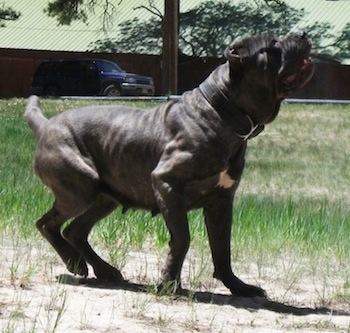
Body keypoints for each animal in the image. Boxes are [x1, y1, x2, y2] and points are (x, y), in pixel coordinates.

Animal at [25, 31, 314, 296]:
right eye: (273, 45)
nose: (302, 34)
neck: (222, 113)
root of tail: (45, 125)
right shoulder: (167, 184)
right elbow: (183, 238)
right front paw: (169, 282)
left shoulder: (221, 202)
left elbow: (223, 248)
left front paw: (238, 286)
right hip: (82, 187)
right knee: (46, 224)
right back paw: (74, 262)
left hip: (105, 198)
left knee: (75, 230)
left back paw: (103, 269)